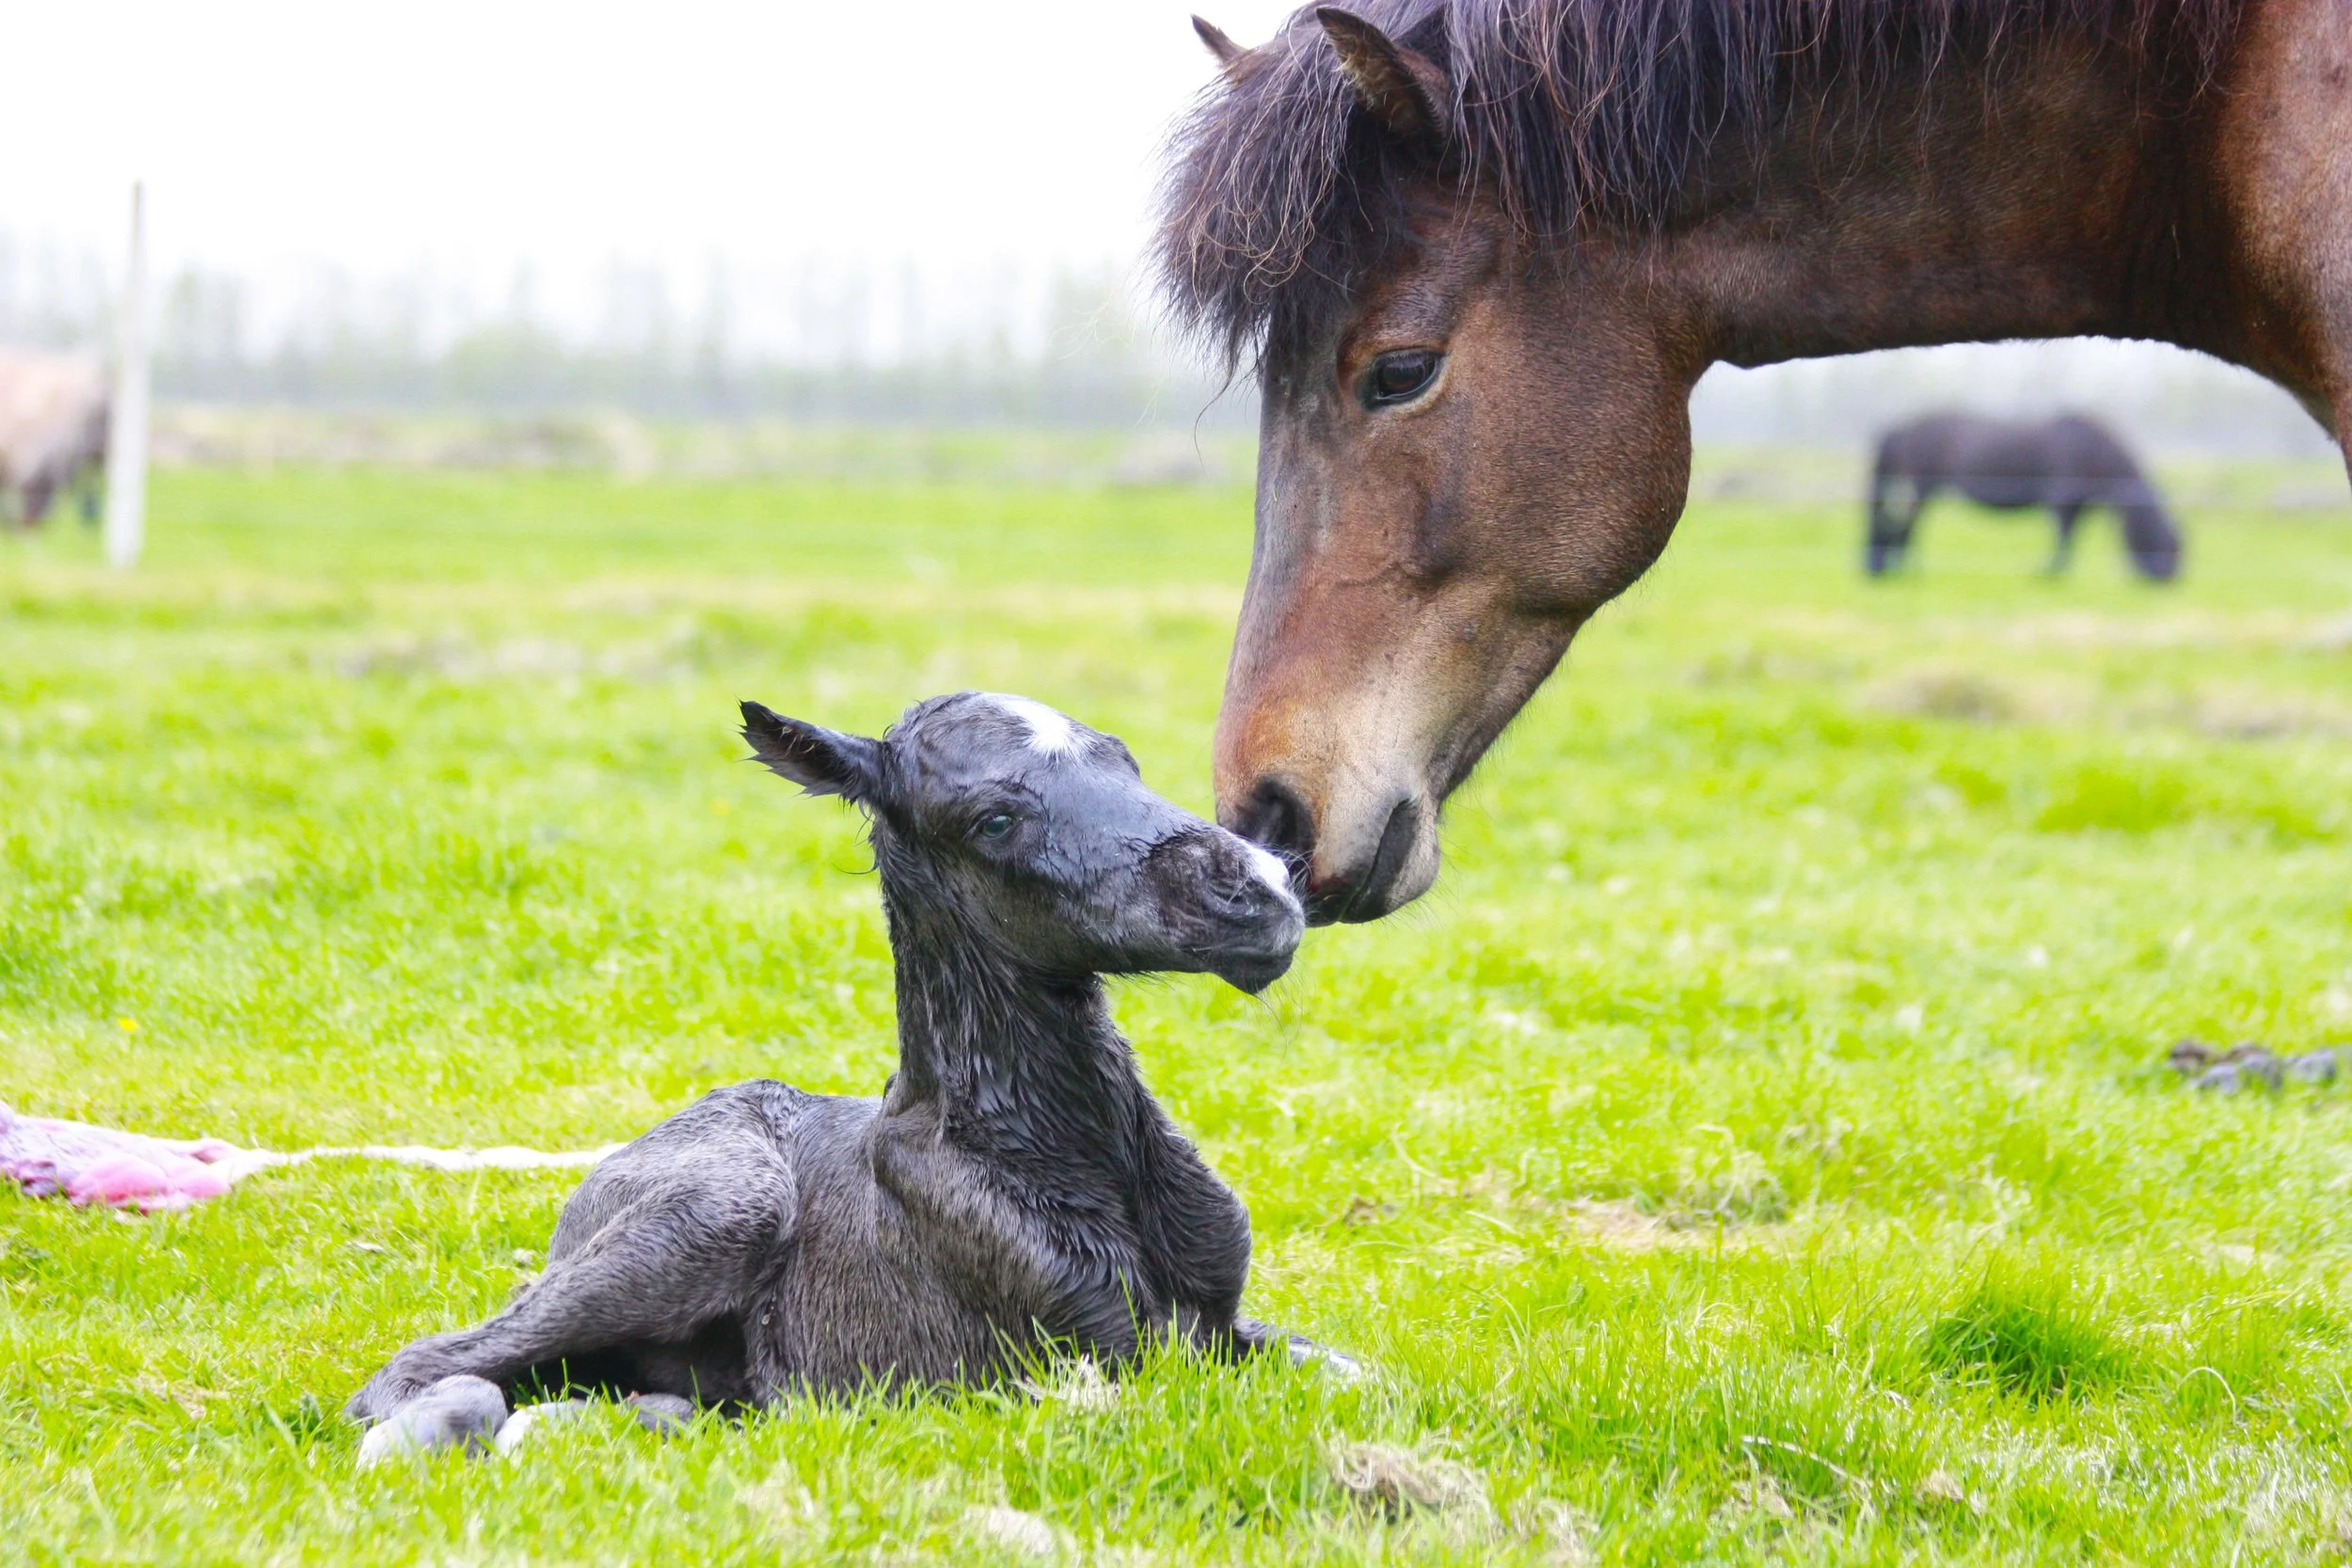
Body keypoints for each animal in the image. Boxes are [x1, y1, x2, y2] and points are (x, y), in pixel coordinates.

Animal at [1866, 412, 2183, 581]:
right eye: (2165, 542)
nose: (2169, 580)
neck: (2098, 452)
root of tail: (1902, 427)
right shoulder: (2062, 498)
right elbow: (2064, 536)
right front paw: (2050, 573)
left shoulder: (2079, 505)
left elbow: (2070, 538)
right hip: (1923, 485)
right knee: (1908, 524)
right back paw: (1908, 570)